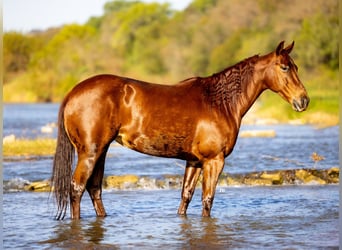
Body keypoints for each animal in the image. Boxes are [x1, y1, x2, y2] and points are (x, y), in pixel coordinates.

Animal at [51, 41, 310, 221]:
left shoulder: (194, 161)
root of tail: (73, 92)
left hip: (101, 151)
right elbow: (207, 200)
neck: (219, 102)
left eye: (296, 66)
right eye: (285, 67)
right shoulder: (214, 161)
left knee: (94, 189)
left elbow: (186, 197)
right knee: (76, 189)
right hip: (90, 153)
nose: (303, 101)